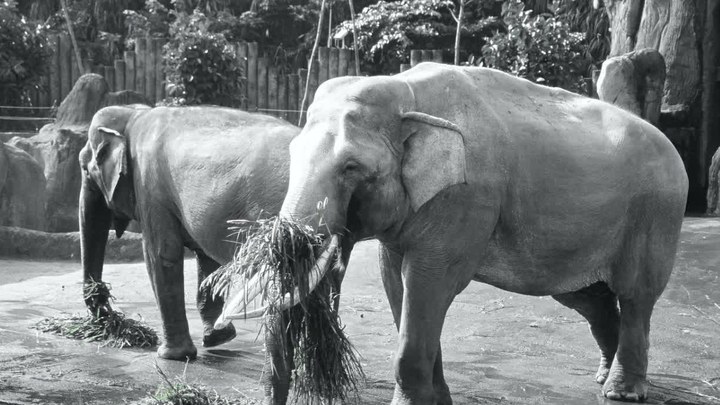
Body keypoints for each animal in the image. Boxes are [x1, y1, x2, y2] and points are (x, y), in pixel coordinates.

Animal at [81, 105, 298, 360]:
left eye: (85, 169)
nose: (105, 304)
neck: (134, 114)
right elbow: (207, 259)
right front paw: (217, 338)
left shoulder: (150, 187)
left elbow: (160, 255)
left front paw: (170, 356)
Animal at [219, 61, 688, 402]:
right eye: (293, 153)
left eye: (351, 168)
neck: (404, 92)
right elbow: (397, 285)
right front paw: (437, 399)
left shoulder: (465, 198)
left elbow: (428, 283)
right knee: (588, 298)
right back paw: (602, 376)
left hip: (656, 213)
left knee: (636, 295)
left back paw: (623, 392)